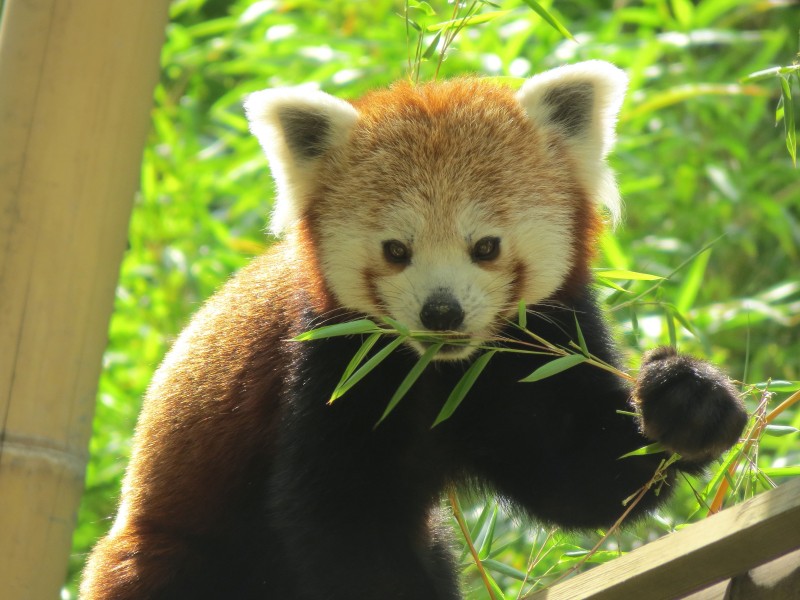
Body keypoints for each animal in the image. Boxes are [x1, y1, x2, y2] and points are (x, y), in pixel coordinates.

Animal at [78, 63, 748, 596]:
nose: (441, 312)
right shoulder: (330, 367)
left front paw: (689, 401)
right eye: (397, 251)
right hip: (171, 550)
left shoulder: (537, 348)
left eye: (485, 246)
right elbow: (342, 523)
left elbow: (581, 476)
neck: (438, 372)